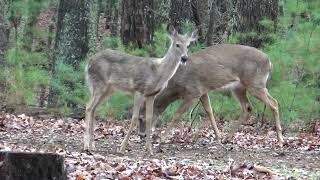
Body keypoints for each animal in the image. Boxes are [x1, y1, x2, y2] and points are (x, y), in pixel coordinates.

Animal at [83, 26, 198, 155]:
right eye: (177, 44)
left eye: (188, 45)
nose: (184, 58)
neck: (157, 72)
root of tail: (88, 63)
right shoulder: (139, 89)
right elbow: (134, 118)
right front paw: (122, 148)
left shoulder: (151, 94)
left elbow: (149, 118)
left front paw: (149, 150)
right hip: (99, 84)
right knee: (88, 107)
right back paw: (86, 146)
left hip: (108, 89)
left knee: (94, 109)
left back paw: (93, 145)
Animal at [138, 44, 284, 147]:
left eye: (141, 118)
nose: (141, 135)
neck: (176, 86)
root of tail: (269, 62)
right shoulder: (203, 91)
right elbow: (210, 112)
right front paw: (218, 137)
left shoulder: (193, 91)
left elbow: (177, 114)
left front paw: (162, 138)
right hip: (239, 87)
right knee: (248, 108)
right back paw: (227, 138)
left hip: (255, 83)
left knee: (274, 103)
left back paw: (280, 140)